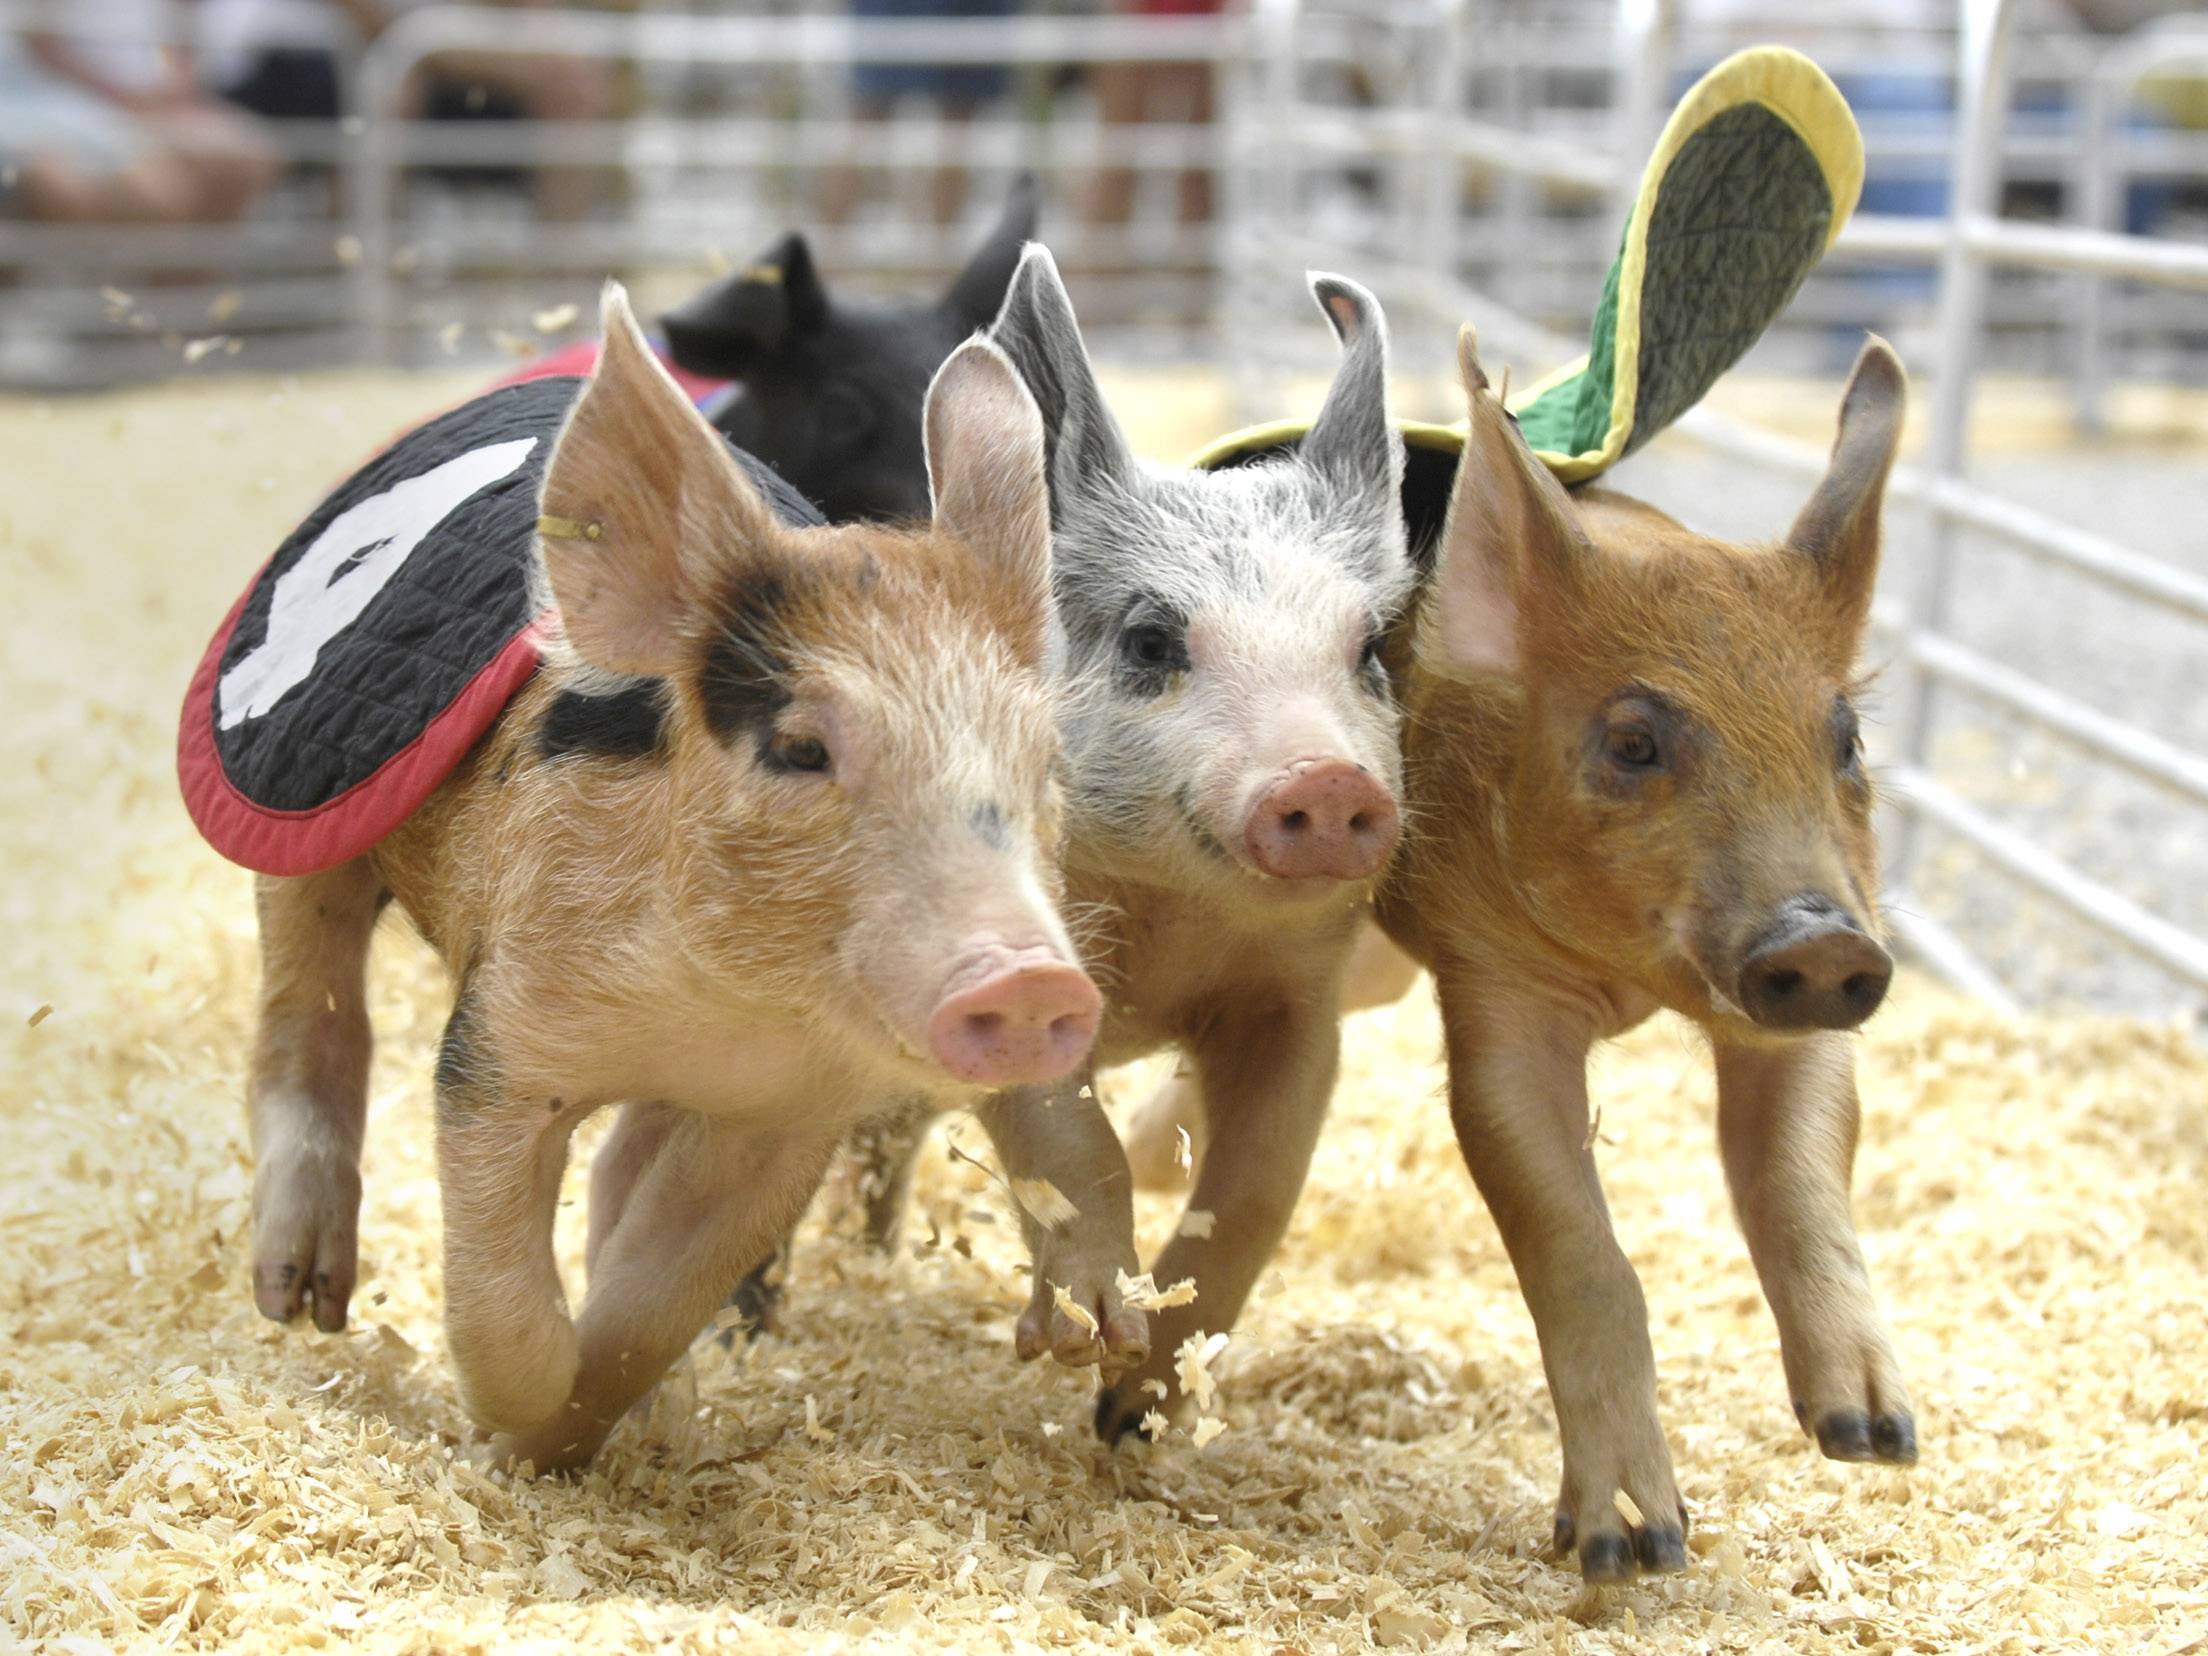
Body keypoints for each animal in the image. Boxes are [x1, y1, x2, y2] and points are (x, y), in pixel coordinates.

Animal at [244, 285, 1102, 1472]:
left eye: (1045, 761)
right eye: (800, 749)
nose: (1031, 980)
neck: (714, 1006)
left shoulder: (785, 1115)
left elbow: (654, 1304)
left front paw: (630, 1425)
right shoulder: (502, 1039)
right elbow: (503, 1305)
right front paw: (513, 1437)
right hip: (304, 810)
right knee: (307, 1009)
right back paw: (301, 1300)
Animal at [718, 246, 1417, 1430]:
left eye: (1368, 648)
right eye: (1150, 640)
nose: (1326, 778)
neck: (1173, 930)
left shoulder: (1296, 998)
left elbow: (1256, 1187)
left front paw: (1132, 1407)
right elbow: (1066, 1138)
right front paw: (1083, 1334)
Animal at [1375, 326, 1914, 1580]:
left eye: (1847, 741)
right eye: (1633, 742)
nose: (1820, 939)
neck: (1633, 988)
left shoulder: (1806, 1005)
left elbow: (1803, 1170)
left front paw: (1876, 1437)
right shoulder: (1493, 984)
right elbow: (1573, 1234)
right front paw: (1633, 1550)